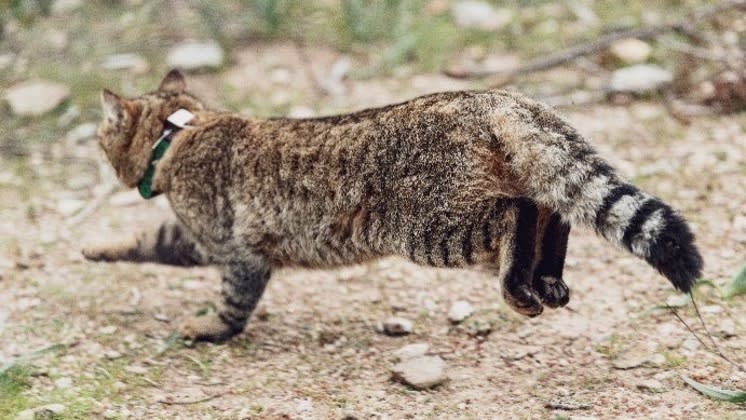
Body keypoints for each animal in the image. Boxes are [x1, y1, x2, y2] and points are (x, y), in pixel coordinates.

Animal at [84, 69, 700, 344]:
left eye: (101, 134)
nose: (95, 141)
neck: (181, 132)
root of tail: (497, 96)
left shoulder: (234, 249)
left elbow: (232, 303)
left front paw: (210, 329)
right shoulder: (199, 240)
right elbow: (150, 241)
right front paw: (96, 248)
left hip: (430, 227)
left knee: (518, 214)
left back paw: (519, 288)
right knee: (553, 210)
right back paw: (546, 281)